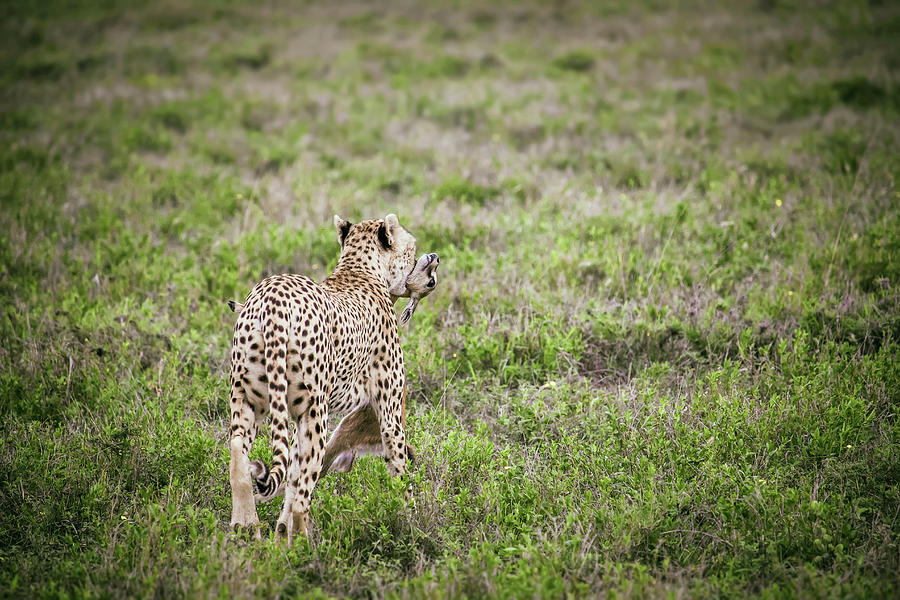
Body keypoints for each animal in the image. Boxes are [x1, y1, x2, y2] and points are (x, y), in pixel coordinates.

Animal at [225, 213, 436, 540]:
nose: (431, 257)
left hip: (247, 398)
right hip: (315, 414)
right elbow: (402, 474)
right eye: (411, 249)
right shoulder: (390, 417)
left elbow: (290, 476)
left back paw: (246, 527)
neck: (358, 269)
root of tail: (272, 298)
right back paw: (303, 547)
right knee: (303, 497)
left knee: (239, 455)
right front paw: (413, 521)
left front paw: (278, 531)